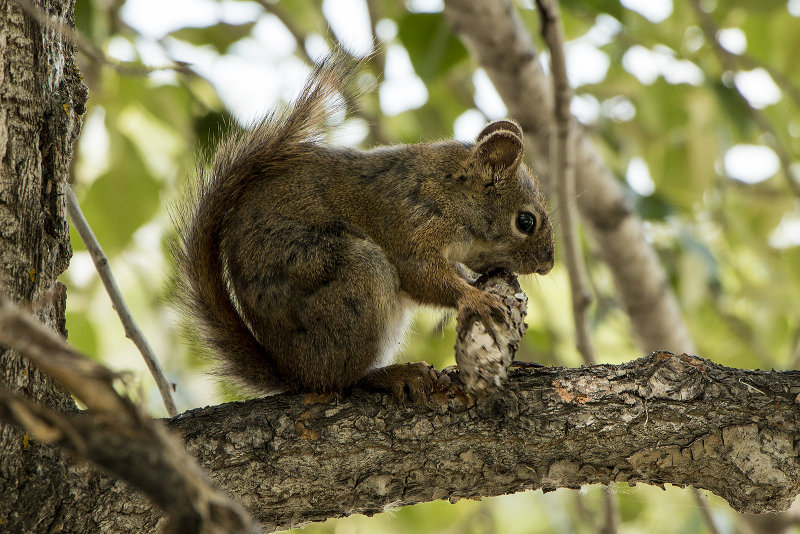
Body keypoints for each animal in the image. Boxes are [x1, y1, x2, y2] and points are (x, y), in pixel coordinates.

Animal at [171, 54, 552, 404]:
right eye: (526, 221)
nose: (547, 266)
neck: (447, 190)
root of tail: (292, 372)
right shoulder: (407, 223)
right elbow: (421, 275)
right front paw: (475, 297)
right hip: (357, 277)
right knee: (339, 379)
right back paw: (391, 375)